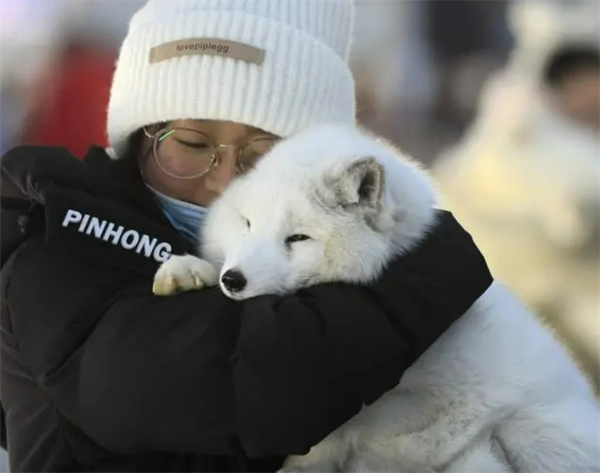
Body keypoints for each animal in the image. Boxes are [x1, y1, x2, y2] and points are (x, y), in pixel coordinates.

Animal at [152, 123, 596, 470]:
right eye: (247, 223)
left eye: (298, 237)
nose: (233, 280)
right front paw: (187, 270)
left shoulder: (436, 396)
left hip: (537, 433)